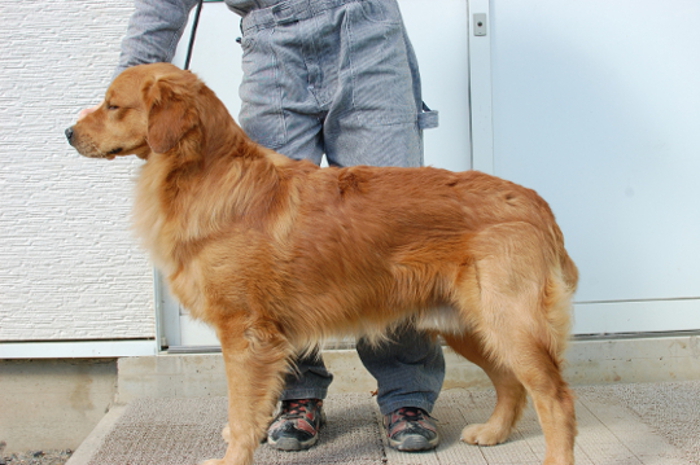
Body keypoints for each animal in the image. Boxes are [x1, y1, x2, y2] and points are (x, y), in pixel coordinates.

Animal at [65, 62, 580, 464]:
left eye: (112, 106)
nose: (68, 133)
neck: (207, 173)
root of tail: (534, 201)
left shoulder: (244, 334)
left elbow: (241, 407)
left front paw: (232, 455)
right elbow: (249, 409)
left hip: (506, 320)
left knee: (555, 397)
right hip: (468, 324)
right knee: (512, 382)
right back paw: (493, 432)